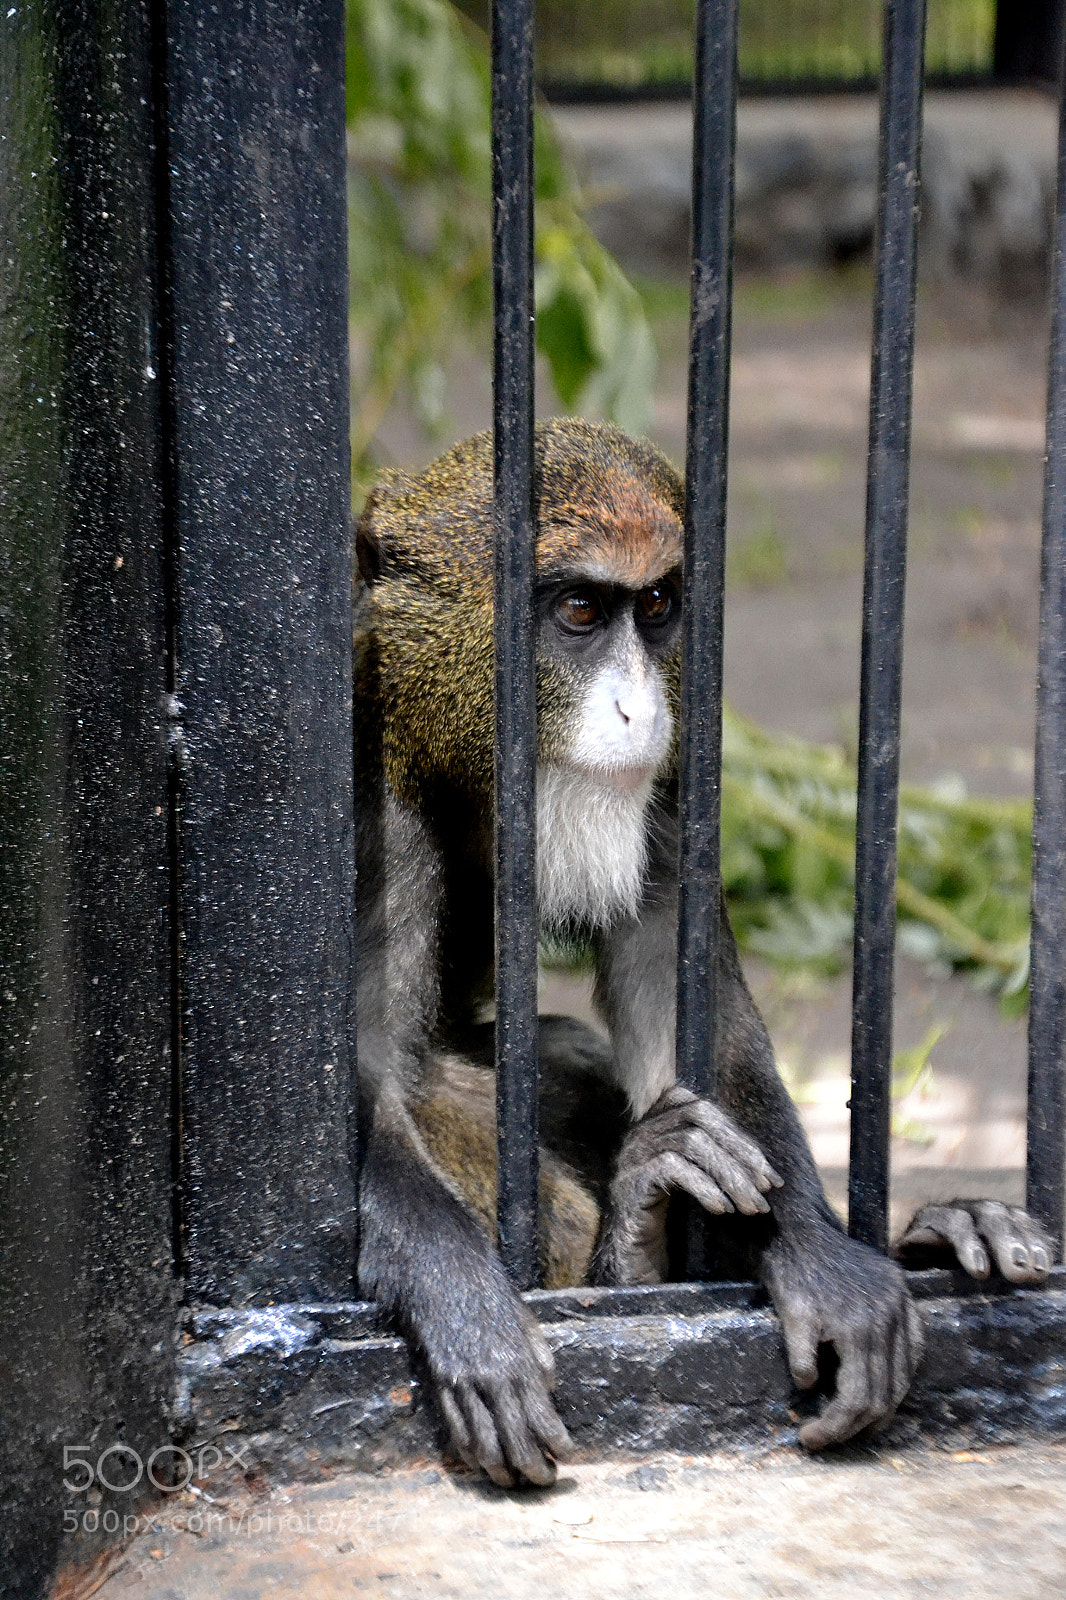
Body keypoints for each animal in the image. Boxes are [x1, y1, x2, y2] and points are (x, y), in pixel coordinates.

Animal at [353, 417, 1053, 1488]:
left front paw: (822, 1258)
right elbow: (370, 1078)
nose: (639, 710)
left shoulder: (676, 776)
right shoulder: (374, 792)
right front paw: (466, 1308)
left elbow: (692, 1009)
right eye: (579, 610)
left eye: (656, 607)